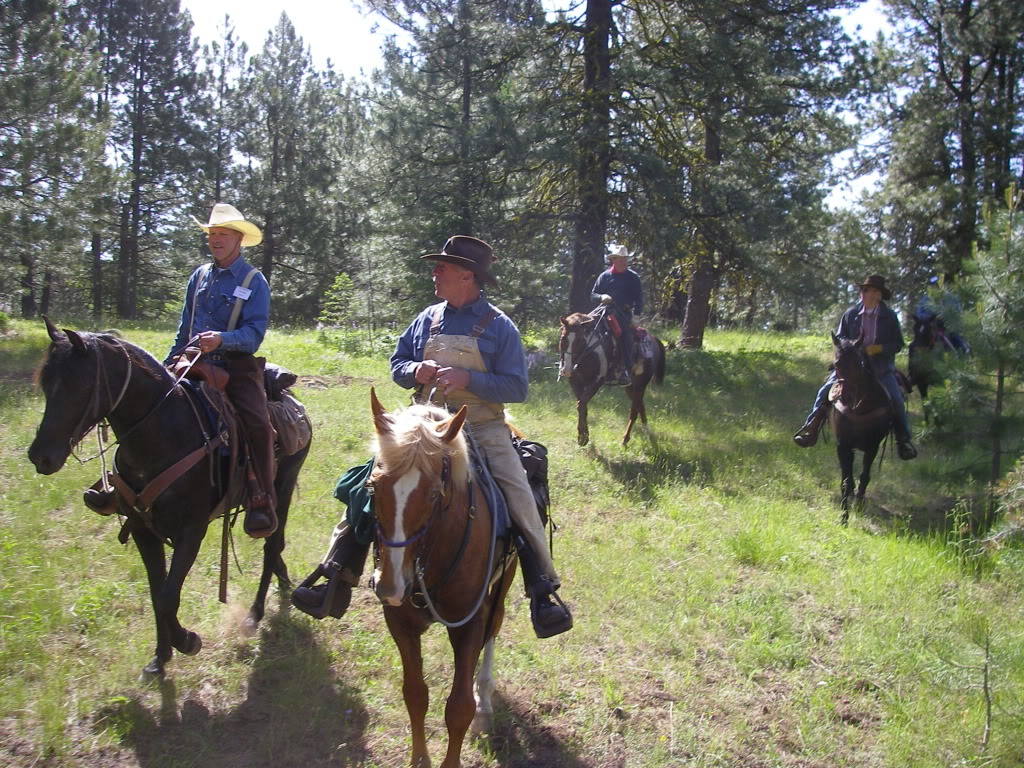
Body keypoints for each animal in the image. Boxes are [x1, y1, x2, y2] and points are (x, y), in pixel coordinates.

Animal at [27, 319, 310, 678]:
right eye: (45, 384)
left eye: (79, 386)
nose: (40, 457)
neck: (161, 435)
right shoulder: (141, 530)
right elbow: (156, 593)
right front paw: (160, 658)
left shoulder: (191, 532)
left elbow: (167, 597)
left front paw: (186, 641)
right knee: (277, 546)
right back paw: (283, 579)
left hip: (283, 485)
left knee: (271, 544)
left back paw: (254, 614)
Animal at [367, 388, 517, 768]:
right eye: (373, 487)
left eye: (435, 494)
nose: (389, 586)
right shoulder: (399, 621)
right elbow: (415, 693)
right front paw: (419, 758)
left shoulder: (468, 623)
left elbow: (459, 707)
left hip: (502, 585)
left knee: (494, 627)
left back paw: (485, 702)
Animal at [558, 310, 666, 446]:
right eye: (563, 338)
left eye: (580, 341)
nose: (566, 370)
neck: (590, 351)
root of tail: (654, 340)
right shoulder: (575, 381)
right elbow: (581, 406)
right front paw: (583, 436)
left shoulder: (597, 381)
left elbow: (581, 404)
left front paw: (583, 437)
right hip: (631, 387)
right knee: (640, 405)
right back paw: (647, 431)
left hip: (641, 384)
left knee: (634, 411)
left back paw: (625, 439)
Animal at [828, 333, 894, 523]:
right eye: (837, 364)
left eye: (858, 362)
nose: (844, 395)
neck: (859, 407)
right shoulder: (842, 445)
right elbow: (845, 480)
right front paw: (844, 517)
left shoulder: (872, 447)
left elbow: (864, 477)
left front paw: (858, 505)